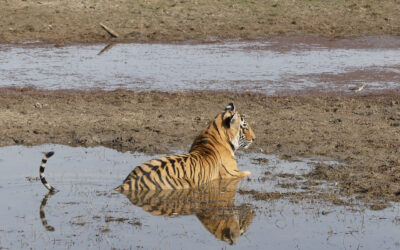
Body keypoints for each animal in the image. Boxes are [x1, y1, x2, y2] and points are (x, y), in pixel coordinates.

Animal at [39, 102, 255, 192]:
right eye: (245, 126)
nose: (254, 138)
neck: (213, 133)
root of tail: (127, 183)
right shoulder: (232, 174)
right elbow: (249, 173)